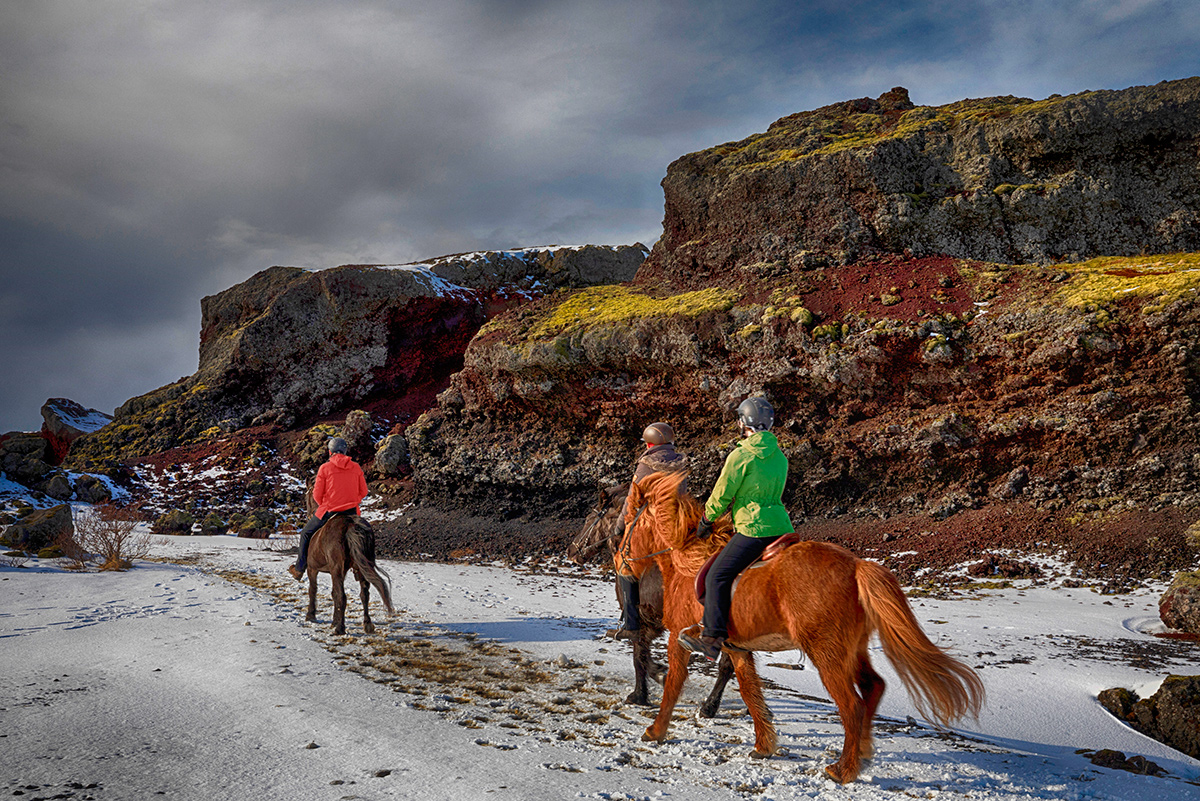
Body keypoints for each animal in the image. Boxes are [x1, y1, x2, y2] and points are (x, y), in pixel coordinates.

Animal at [566, 482, 734, 714]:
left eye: (589, 519)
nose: (571, 550)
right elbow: (643, 655)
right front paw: (660, 674)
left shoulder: (643, 618)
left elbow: (639, 657)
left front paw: (641, 693)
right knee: (728, 666)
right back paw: (712, 707)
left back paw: (709, 706)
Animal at [628, 472, 984, 786]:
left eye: (629, 521)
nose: (626, 562)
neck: (687, 562)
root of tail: (856, 565)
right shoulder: (738, 649)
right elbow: (750, 692)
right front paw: (763, 746)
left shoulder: (679, 638)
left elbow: (674, 683)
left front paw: (656, 731)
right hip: (851, 648)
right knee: (873, 687)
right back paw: (861, 754)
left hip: (826, 652)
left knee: (852, 706)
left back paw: (843, 770)